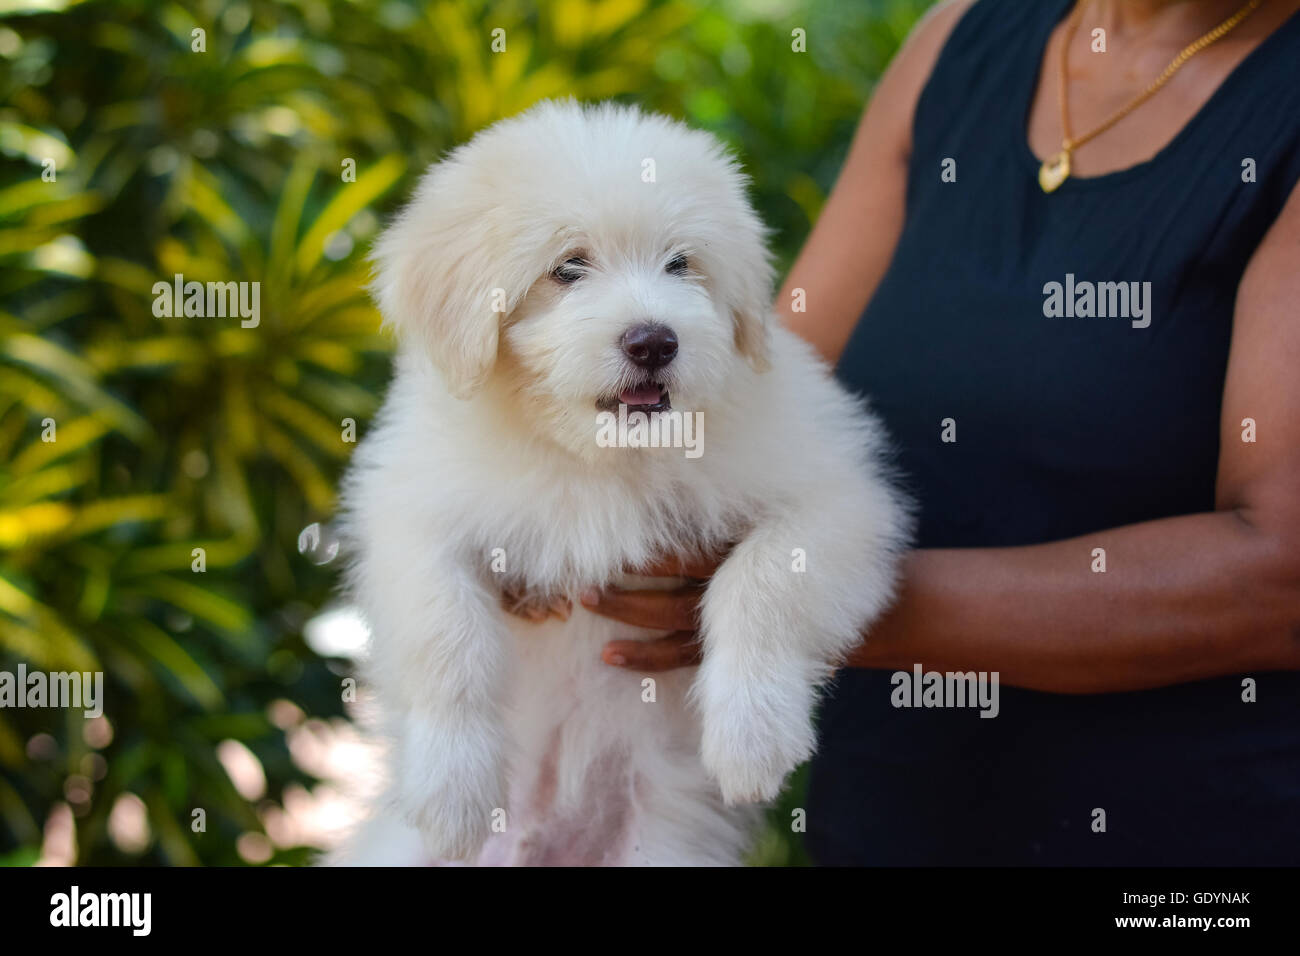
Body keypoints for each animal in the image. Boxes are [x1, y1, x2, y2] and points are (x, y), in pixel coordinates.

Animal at [335, 98, 904, 868]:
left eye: (681, 263)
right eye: (568, 267)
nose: (654, 341)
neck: (602, 457)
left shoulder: (837, 496)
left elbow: (760, 585)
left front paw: (751, 736)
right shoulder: (409, 512)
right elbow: (445, 635)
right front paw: (451, 790)